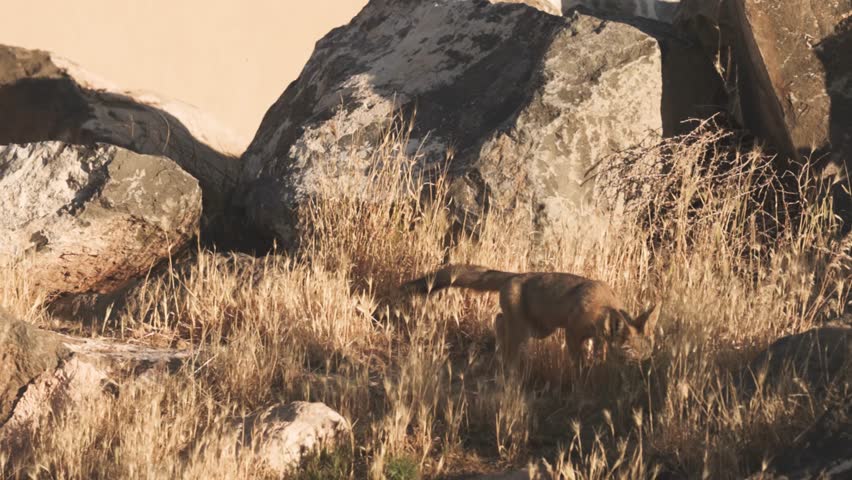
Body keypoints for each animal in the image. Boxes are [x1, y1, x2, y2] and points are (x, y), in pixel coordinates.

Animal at [400, 264, 659, 368]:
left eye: (647, 352)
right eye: (628, 352)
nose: (642, 369)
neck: (602, 303)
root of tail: (514, 275)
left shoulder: (596, 337)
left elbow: (597, 353)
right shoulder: (572, 333)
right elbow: (579, 362)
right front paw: (583, 376)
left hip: (539, 331)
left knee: (498, 320)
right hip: (527, 331)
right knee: (501, 325)